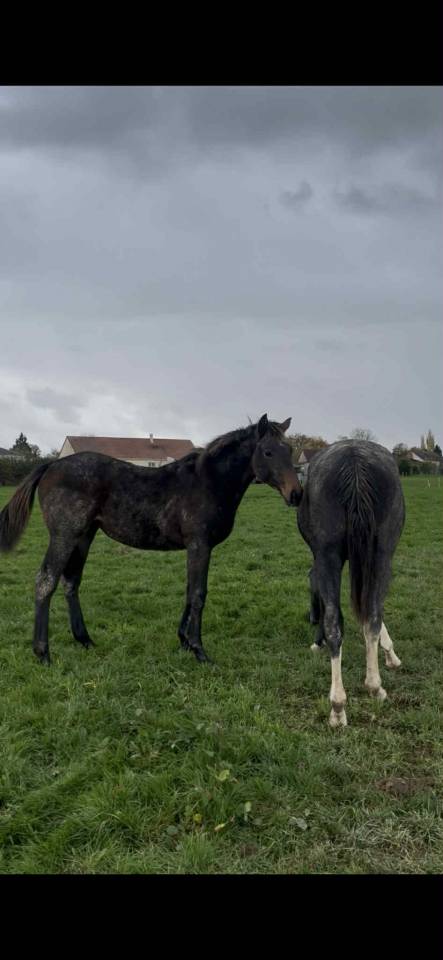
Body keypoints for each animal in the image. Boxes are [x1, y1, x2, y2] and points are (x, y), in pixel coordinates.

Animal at [0, 414, 302, 666]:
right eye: (268, 451)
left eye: (290, 450)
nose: (296, 494)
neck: (208, 482)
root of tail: (52, 464)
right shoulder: (199, 545)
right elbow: (198, 594)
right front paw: (199, 650)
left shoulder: (194, 548)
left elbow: (189, 591)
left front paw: (183, 641)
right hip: (65, 535)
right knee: (46, 581)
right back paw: (43, 653)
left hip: (84, 536)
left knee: (71, 582)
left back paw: (85, 640)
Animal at [296, 439, 405, 728]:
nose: (311, 617)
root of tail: (354, 461)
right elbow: (369, 613)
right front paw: (390, 655)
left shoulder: (321, 558)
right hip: (381, 554)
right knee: (373, 616)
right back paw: (374, 687)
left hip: (330, 556)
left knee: (335, 621)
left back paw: (338, 706)